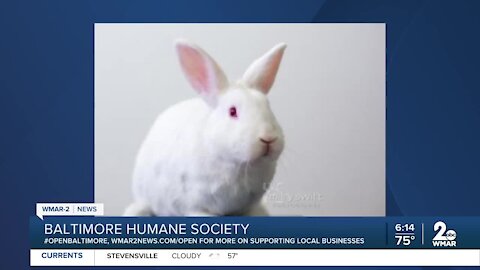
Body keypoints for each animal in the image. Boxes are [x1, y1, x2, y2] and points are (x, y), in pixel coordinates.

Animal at [125, 40, 286, 216]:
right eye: (232, 111)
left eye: (268, 107)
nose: (268, 138)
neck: (235, 164)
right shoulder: (197, 206)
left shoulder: (249, 206)